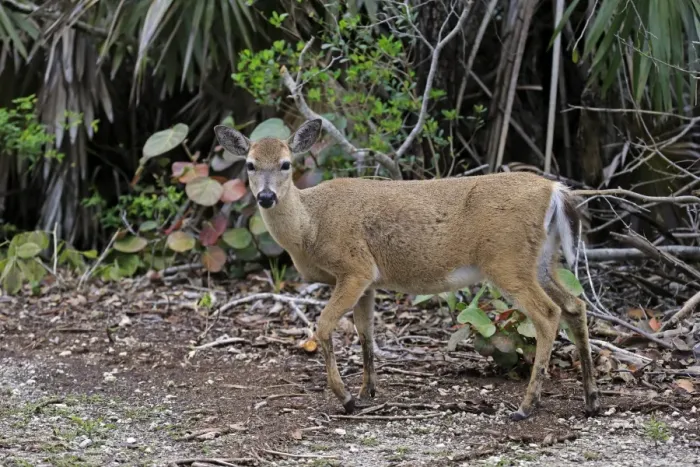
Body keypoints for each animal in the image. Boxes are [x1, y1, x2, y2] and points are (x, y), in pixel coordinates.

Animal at [214, 119, 600, 421]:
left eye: (285, 164)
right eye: (250, 165)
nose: (266, 197)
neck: (311, 226)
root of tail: (555, 190)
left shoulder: (354, 267)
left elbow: (322, 327)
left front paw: (347, 398)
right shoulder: (368, 280)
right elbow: (366, 333)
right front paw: (368, 391)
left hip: (507, 259)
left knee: (547, 314)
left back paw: (525, 407)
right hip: (543, 260)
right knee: (575, 305)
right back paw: (591, 400)